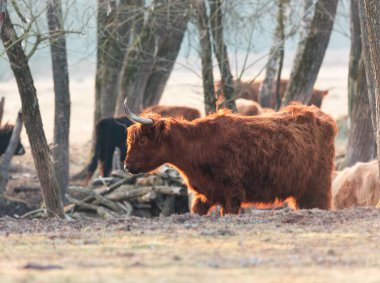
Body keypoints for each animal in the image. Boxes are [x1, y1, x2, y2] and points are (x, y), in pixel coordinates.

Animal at [123, 98, 336, 216]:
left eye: (142, 141)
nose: (126, 166)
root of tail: (319, 115)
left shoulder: (232, 194)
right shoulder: (207, 193)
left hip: (317, 188)